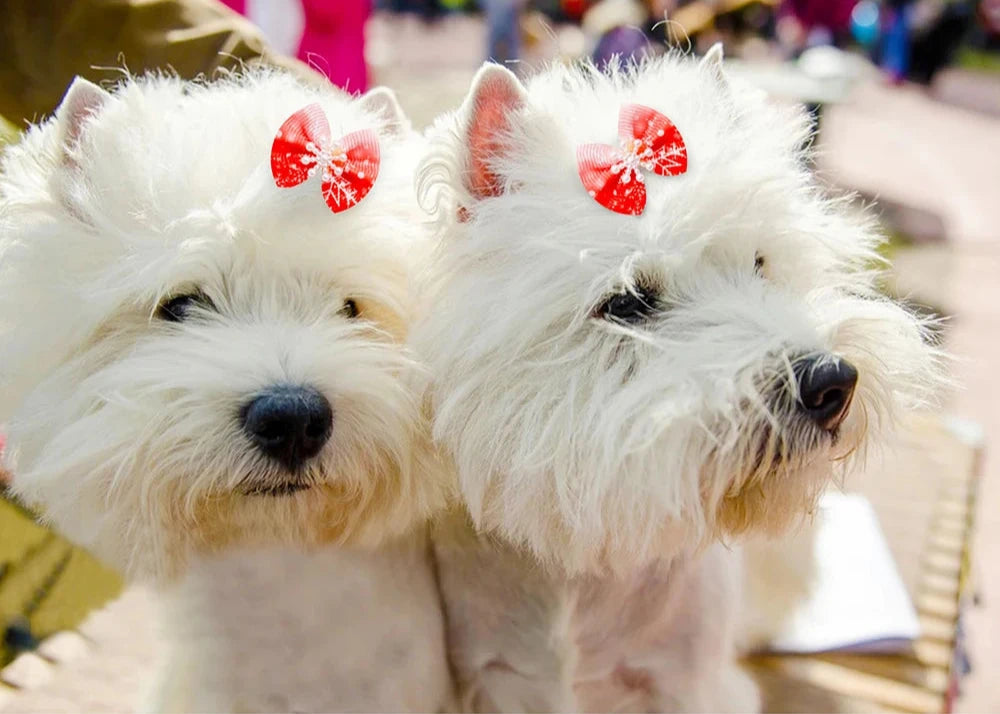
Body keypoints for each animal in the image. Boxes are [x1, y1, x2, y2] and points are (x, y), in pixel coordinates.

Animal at [412, 47, 936, 708]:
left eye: (759, 263)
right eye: (629, 301)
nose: (831, 382)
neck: (590, 555)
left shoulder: (683, 681)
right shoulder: (498, 674)